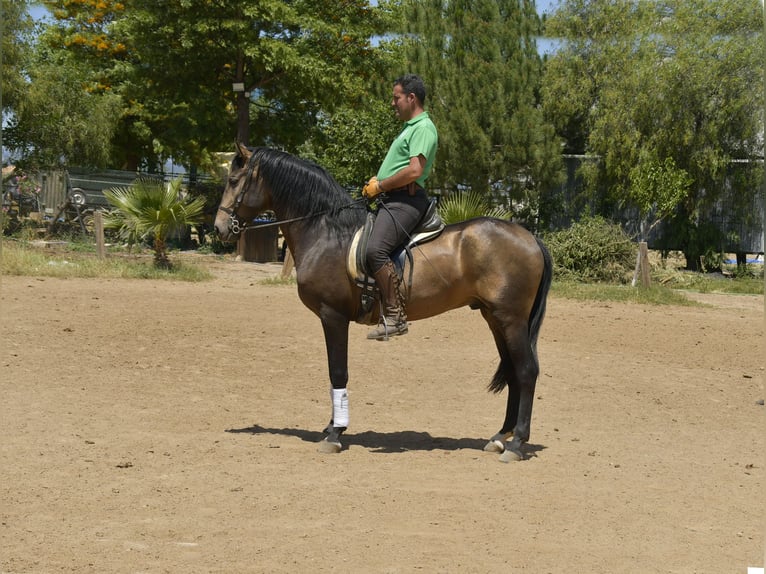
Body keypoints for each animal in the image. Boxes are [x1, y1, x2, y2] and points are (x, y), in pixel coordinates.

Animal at [214, 144, 552, 464]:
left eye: (233, 181)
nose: (219, 228)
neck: (326, 232)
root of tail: (530, 237)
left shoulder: (332, 315)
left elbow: (338, 372)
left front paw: (335, 433)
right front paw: (332, 427)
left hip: (511, 318)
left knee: (526, 371)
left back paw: (517, 444)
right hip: (493, 317)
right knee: (513, 370)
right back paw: (500, 437)